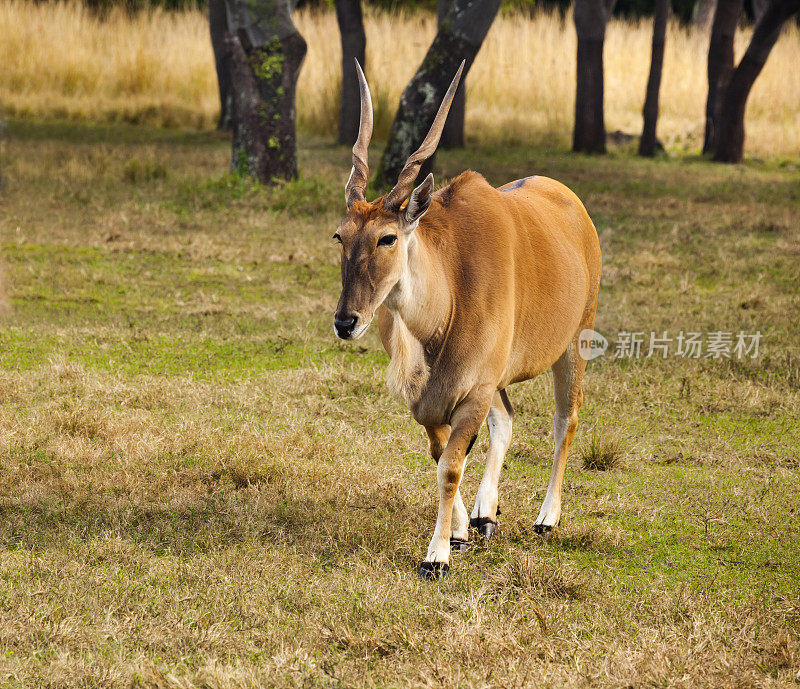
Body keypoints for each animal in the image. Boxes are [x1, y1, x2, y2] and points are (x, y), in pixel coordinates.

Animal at [332, 61, 600, 580]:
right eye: (341, 235)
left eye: (387, 238)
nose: (345, 321)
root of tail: (573, 202)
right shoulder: (435, 396)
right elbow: (442, 454)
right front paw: (457, 530)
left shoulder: (473, 390)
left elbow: (451, 466)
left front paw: (435, 555)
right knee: (508, 418)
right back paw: (485, 513)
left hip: (573, 344)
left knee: (567, 419)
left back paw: (547, 517)